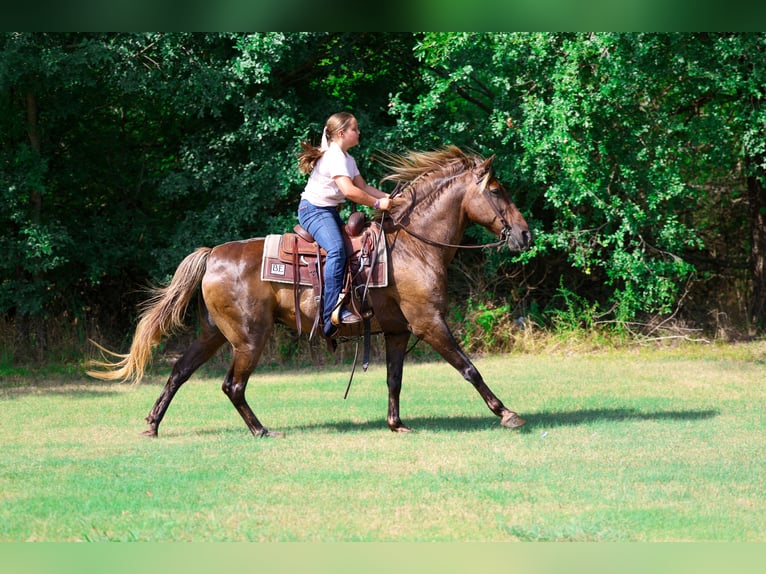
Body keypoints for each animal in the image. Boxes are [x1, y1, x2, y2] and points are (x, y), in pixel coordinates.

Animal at [87, 146, 531, 437]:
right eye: (496, 190)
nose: (525, 234)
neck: (412, 246)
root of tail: (212, 255)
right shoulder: (429, 322)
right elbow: (469, 368)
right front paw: (507, 413)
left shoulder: (397, 330)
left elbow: (394, 379)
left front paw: (396, 424)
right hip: (249, 338)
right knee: (232, 385)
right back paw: (261, 431)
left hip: (213, 334)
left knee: (179, 371)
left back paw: (152, 425)